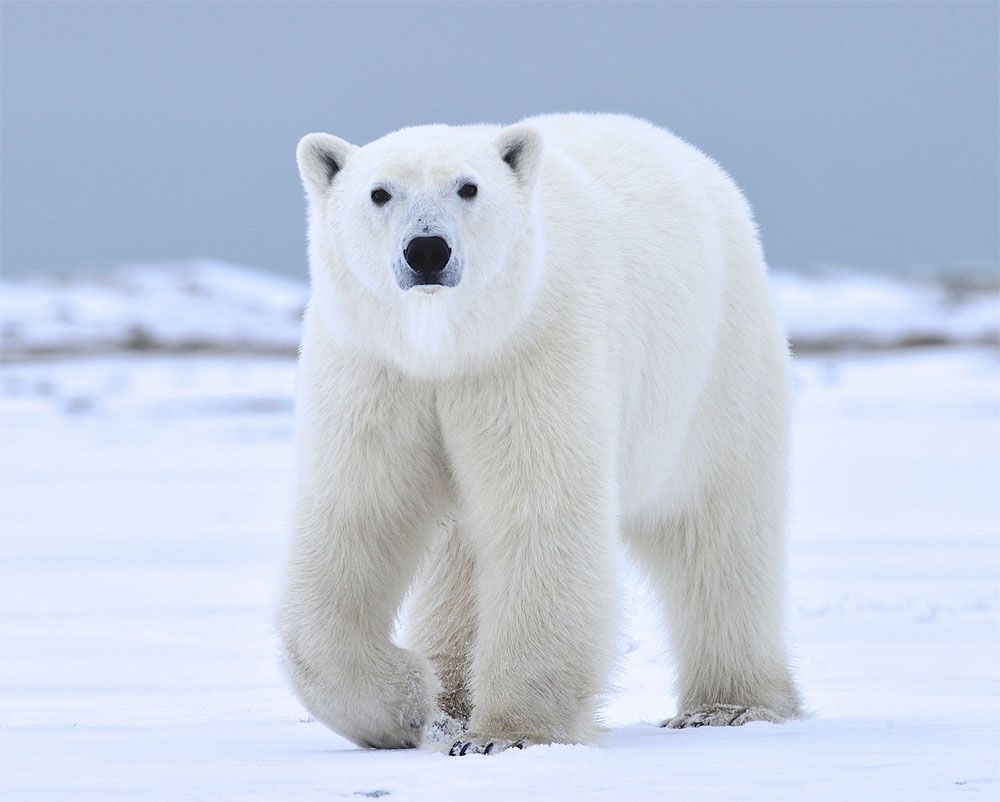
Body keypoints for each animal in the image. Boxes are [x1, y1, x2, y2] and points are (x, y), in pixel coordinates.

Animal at [277, 113, 803, 755]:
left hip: (718, 378)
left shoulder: (530, 350)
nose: (427, 250)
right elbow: (356, 514)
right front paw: (409, 703)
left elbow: (540, 513)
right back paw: (450, 698)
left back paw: (730, 706)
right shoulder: (375, 369)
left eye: (468, 187)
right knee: (458, 558)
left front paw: (507, 735)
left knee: (717, 534)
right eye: (379, 193)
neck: (449, 347)